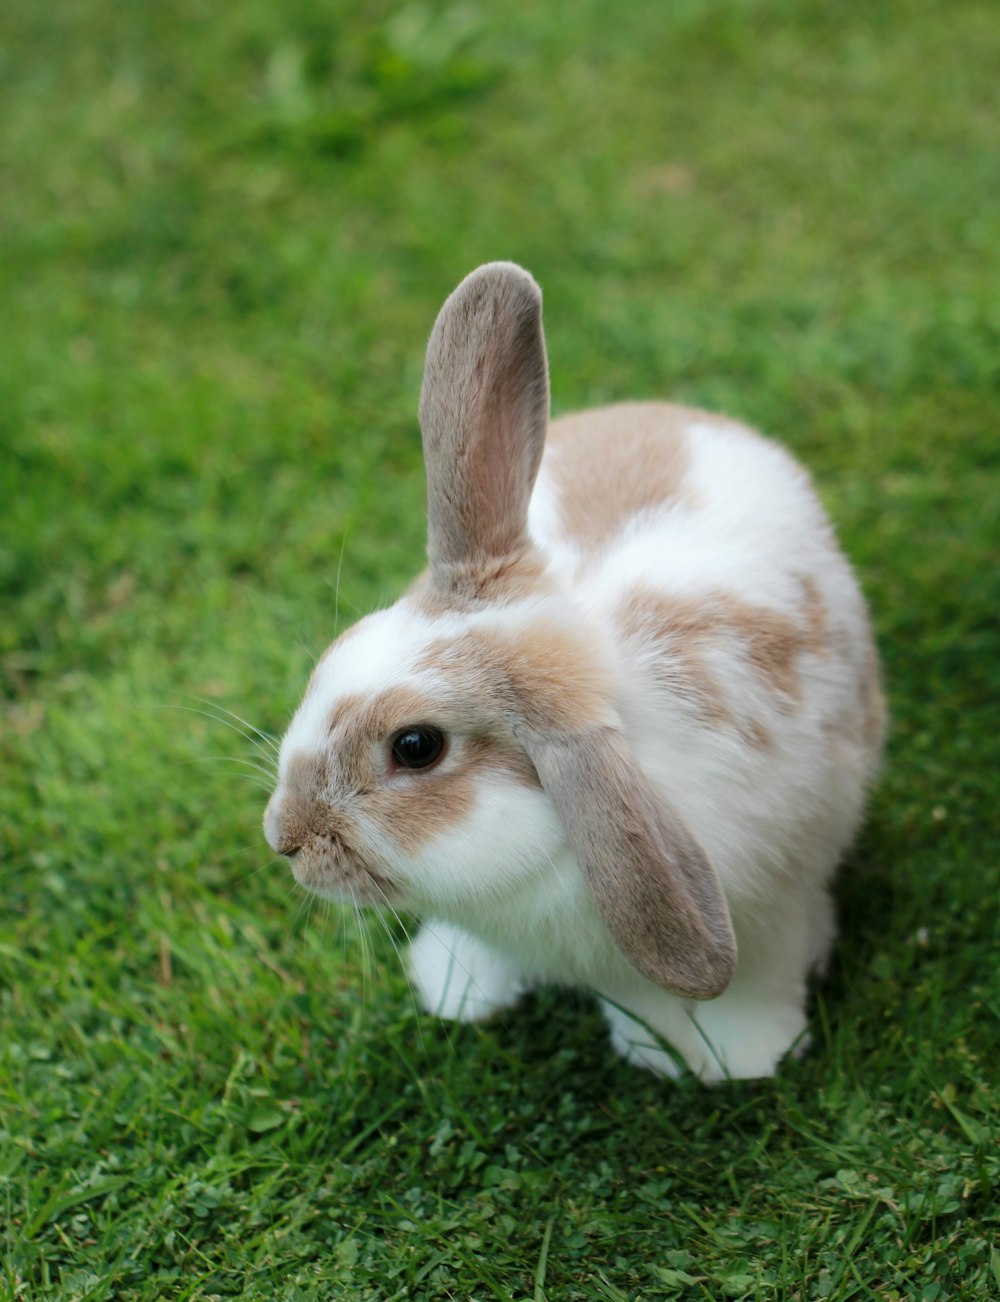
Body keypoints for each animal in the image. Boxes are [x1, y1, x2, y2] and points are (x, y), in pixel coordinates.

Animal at [263, 259, 885, 1083]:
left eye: (416, 747)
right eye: (339, 652)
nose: (283, 838)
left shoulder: (768, 909)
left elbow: (753, 984)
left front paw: (743, 1058)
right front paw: (458, 989)